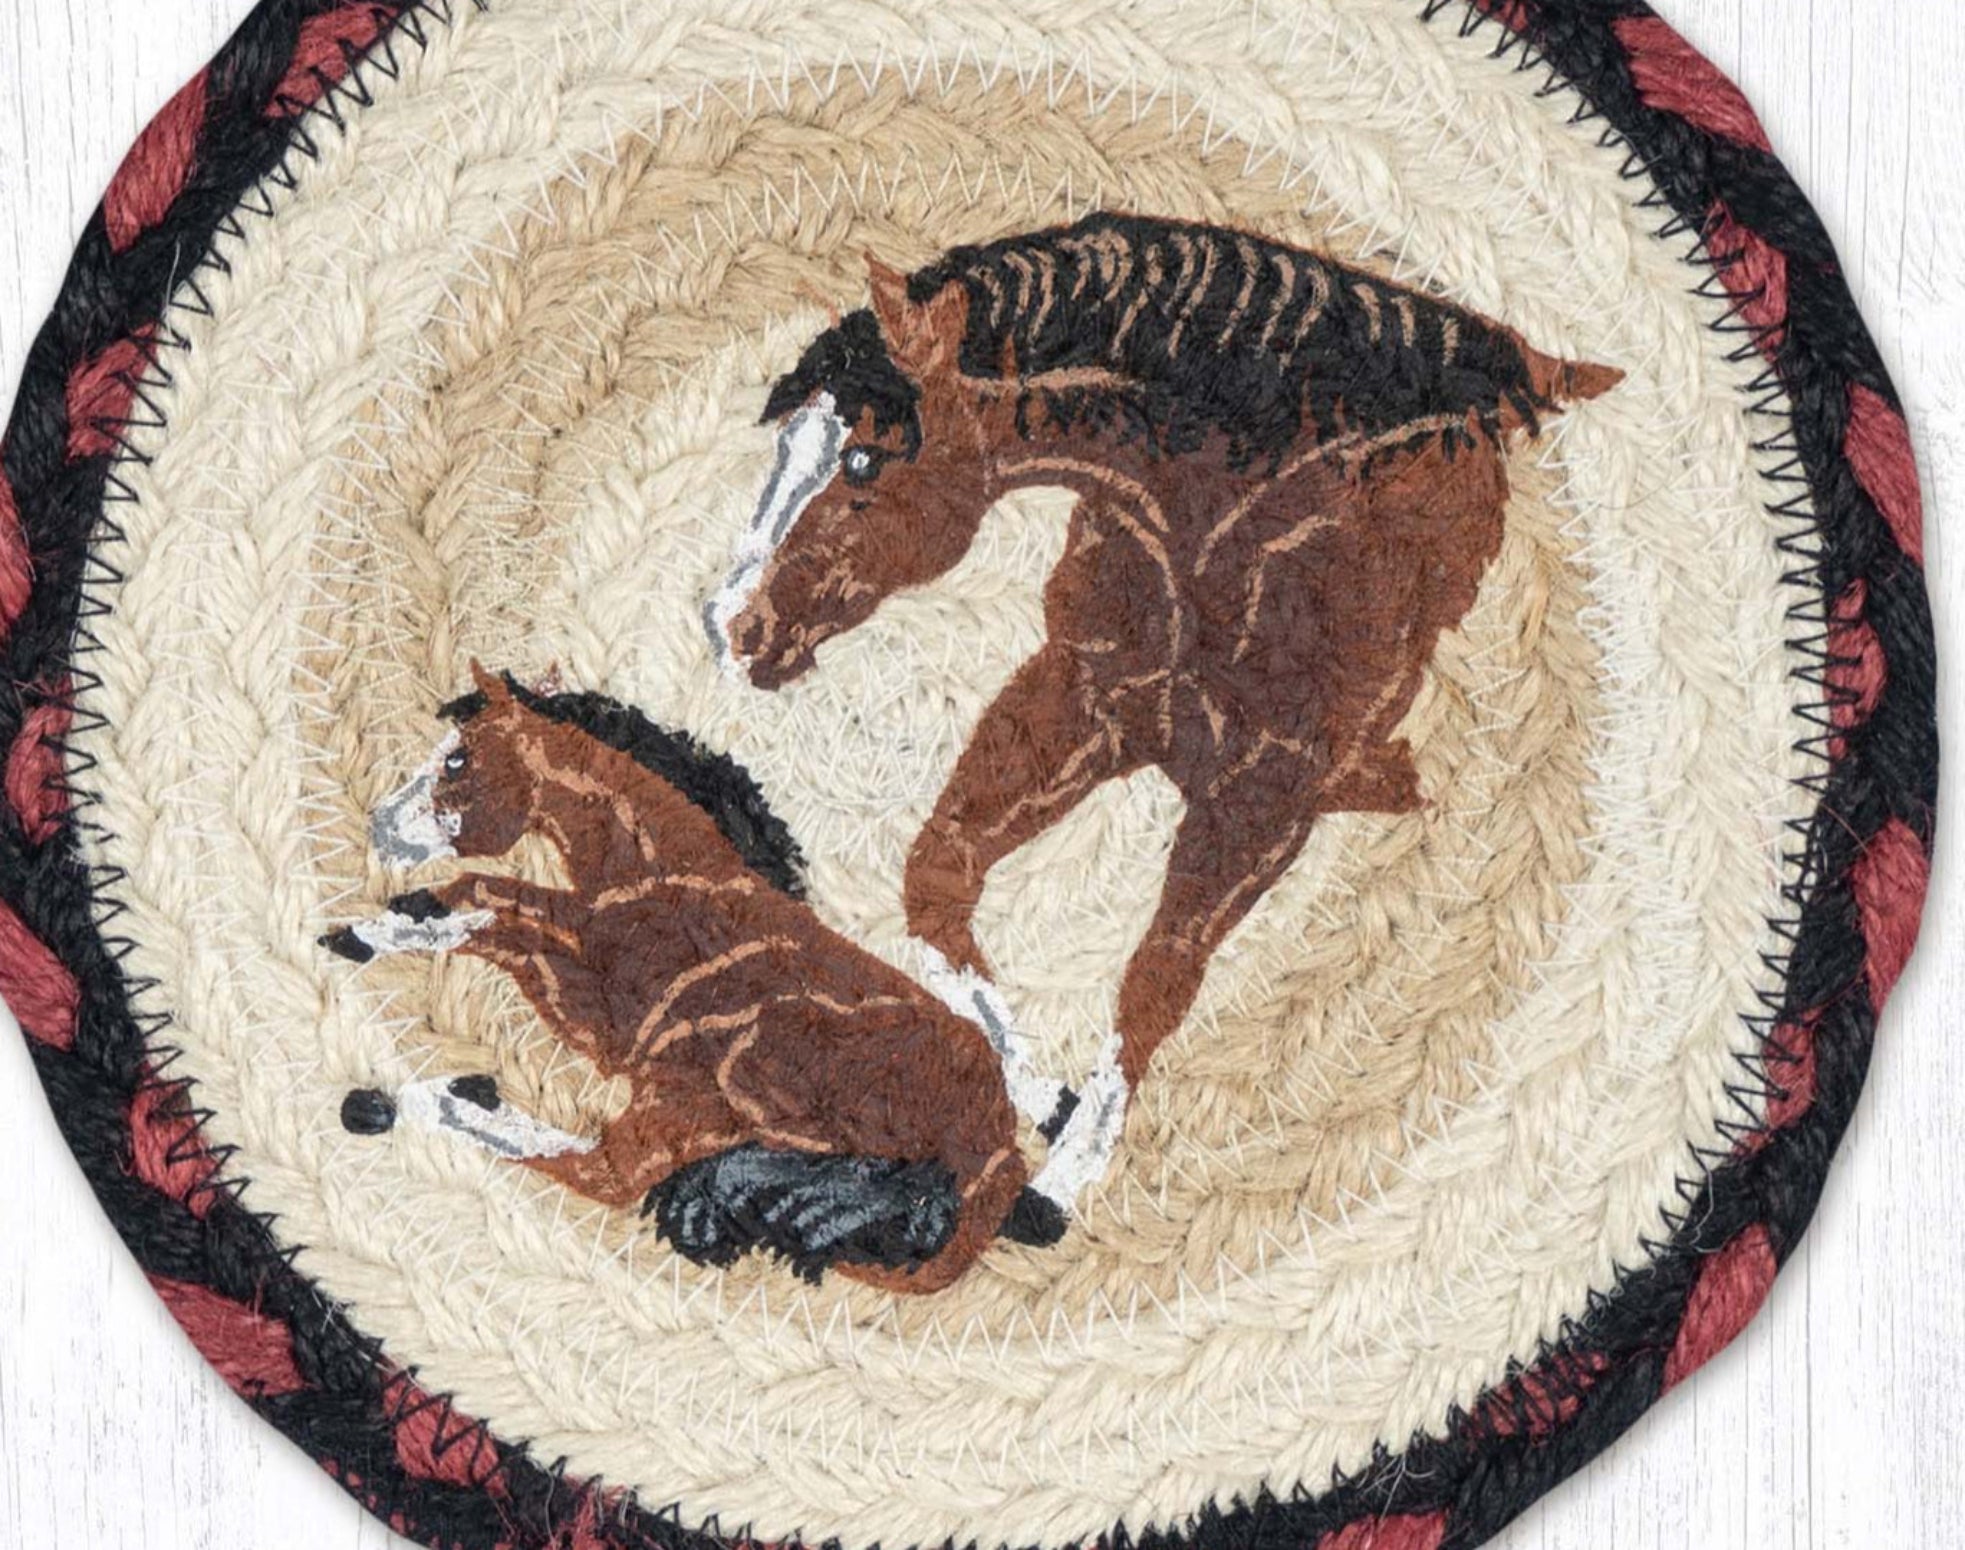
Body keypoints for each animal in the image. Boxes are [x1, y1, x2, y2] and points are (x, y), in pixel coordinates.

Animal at [322, 666, 1064, 1293]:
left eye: (458, 758)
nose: (381, 829)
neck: (666, 874)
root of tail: (999, 1149)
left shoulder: (606, 1007)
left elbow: (488, 907)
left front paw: (373, 934)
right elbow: (484, 896)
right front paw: (368, 930)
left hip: (732, 1082)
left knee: (605, 1171)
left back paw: (410, 1099)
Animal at [708, 210, 1623, 1204]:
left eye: (864, 457)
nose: (734, 626)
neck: (1218, 522)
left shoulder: (1263, 795)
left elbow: (1158, 973)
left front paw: (1059, 1187)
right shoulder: (1078, 701)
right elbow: (935, 887)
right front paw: (1049, 1102)